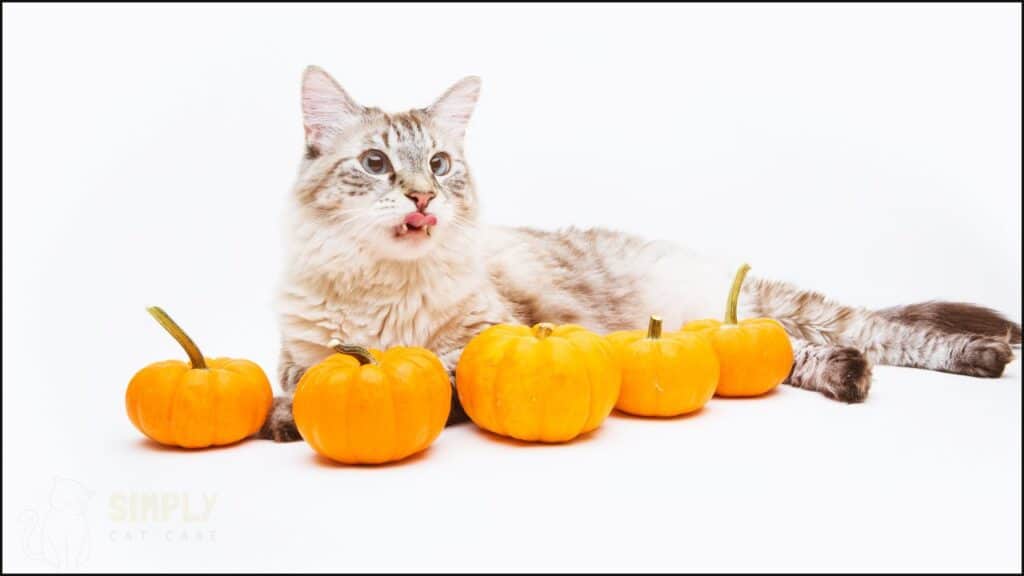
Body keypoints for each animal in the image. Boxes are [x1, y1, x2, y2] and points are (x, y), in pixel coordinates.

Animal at [256, 66, 1015, 438]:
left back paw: (985, 356)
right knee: (799, 354)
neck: (389, 288)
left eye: (440, 165)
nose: (422, 198)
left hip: (777, 306)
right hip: (737, 329)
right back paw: (847, 376)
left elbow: (437, 371)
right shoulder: (301, 355)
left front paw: (290, 420)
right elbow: (311, 378)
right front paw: (288, 416)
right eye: (377, 164)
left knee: (890, 333)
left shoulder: (485, 335)